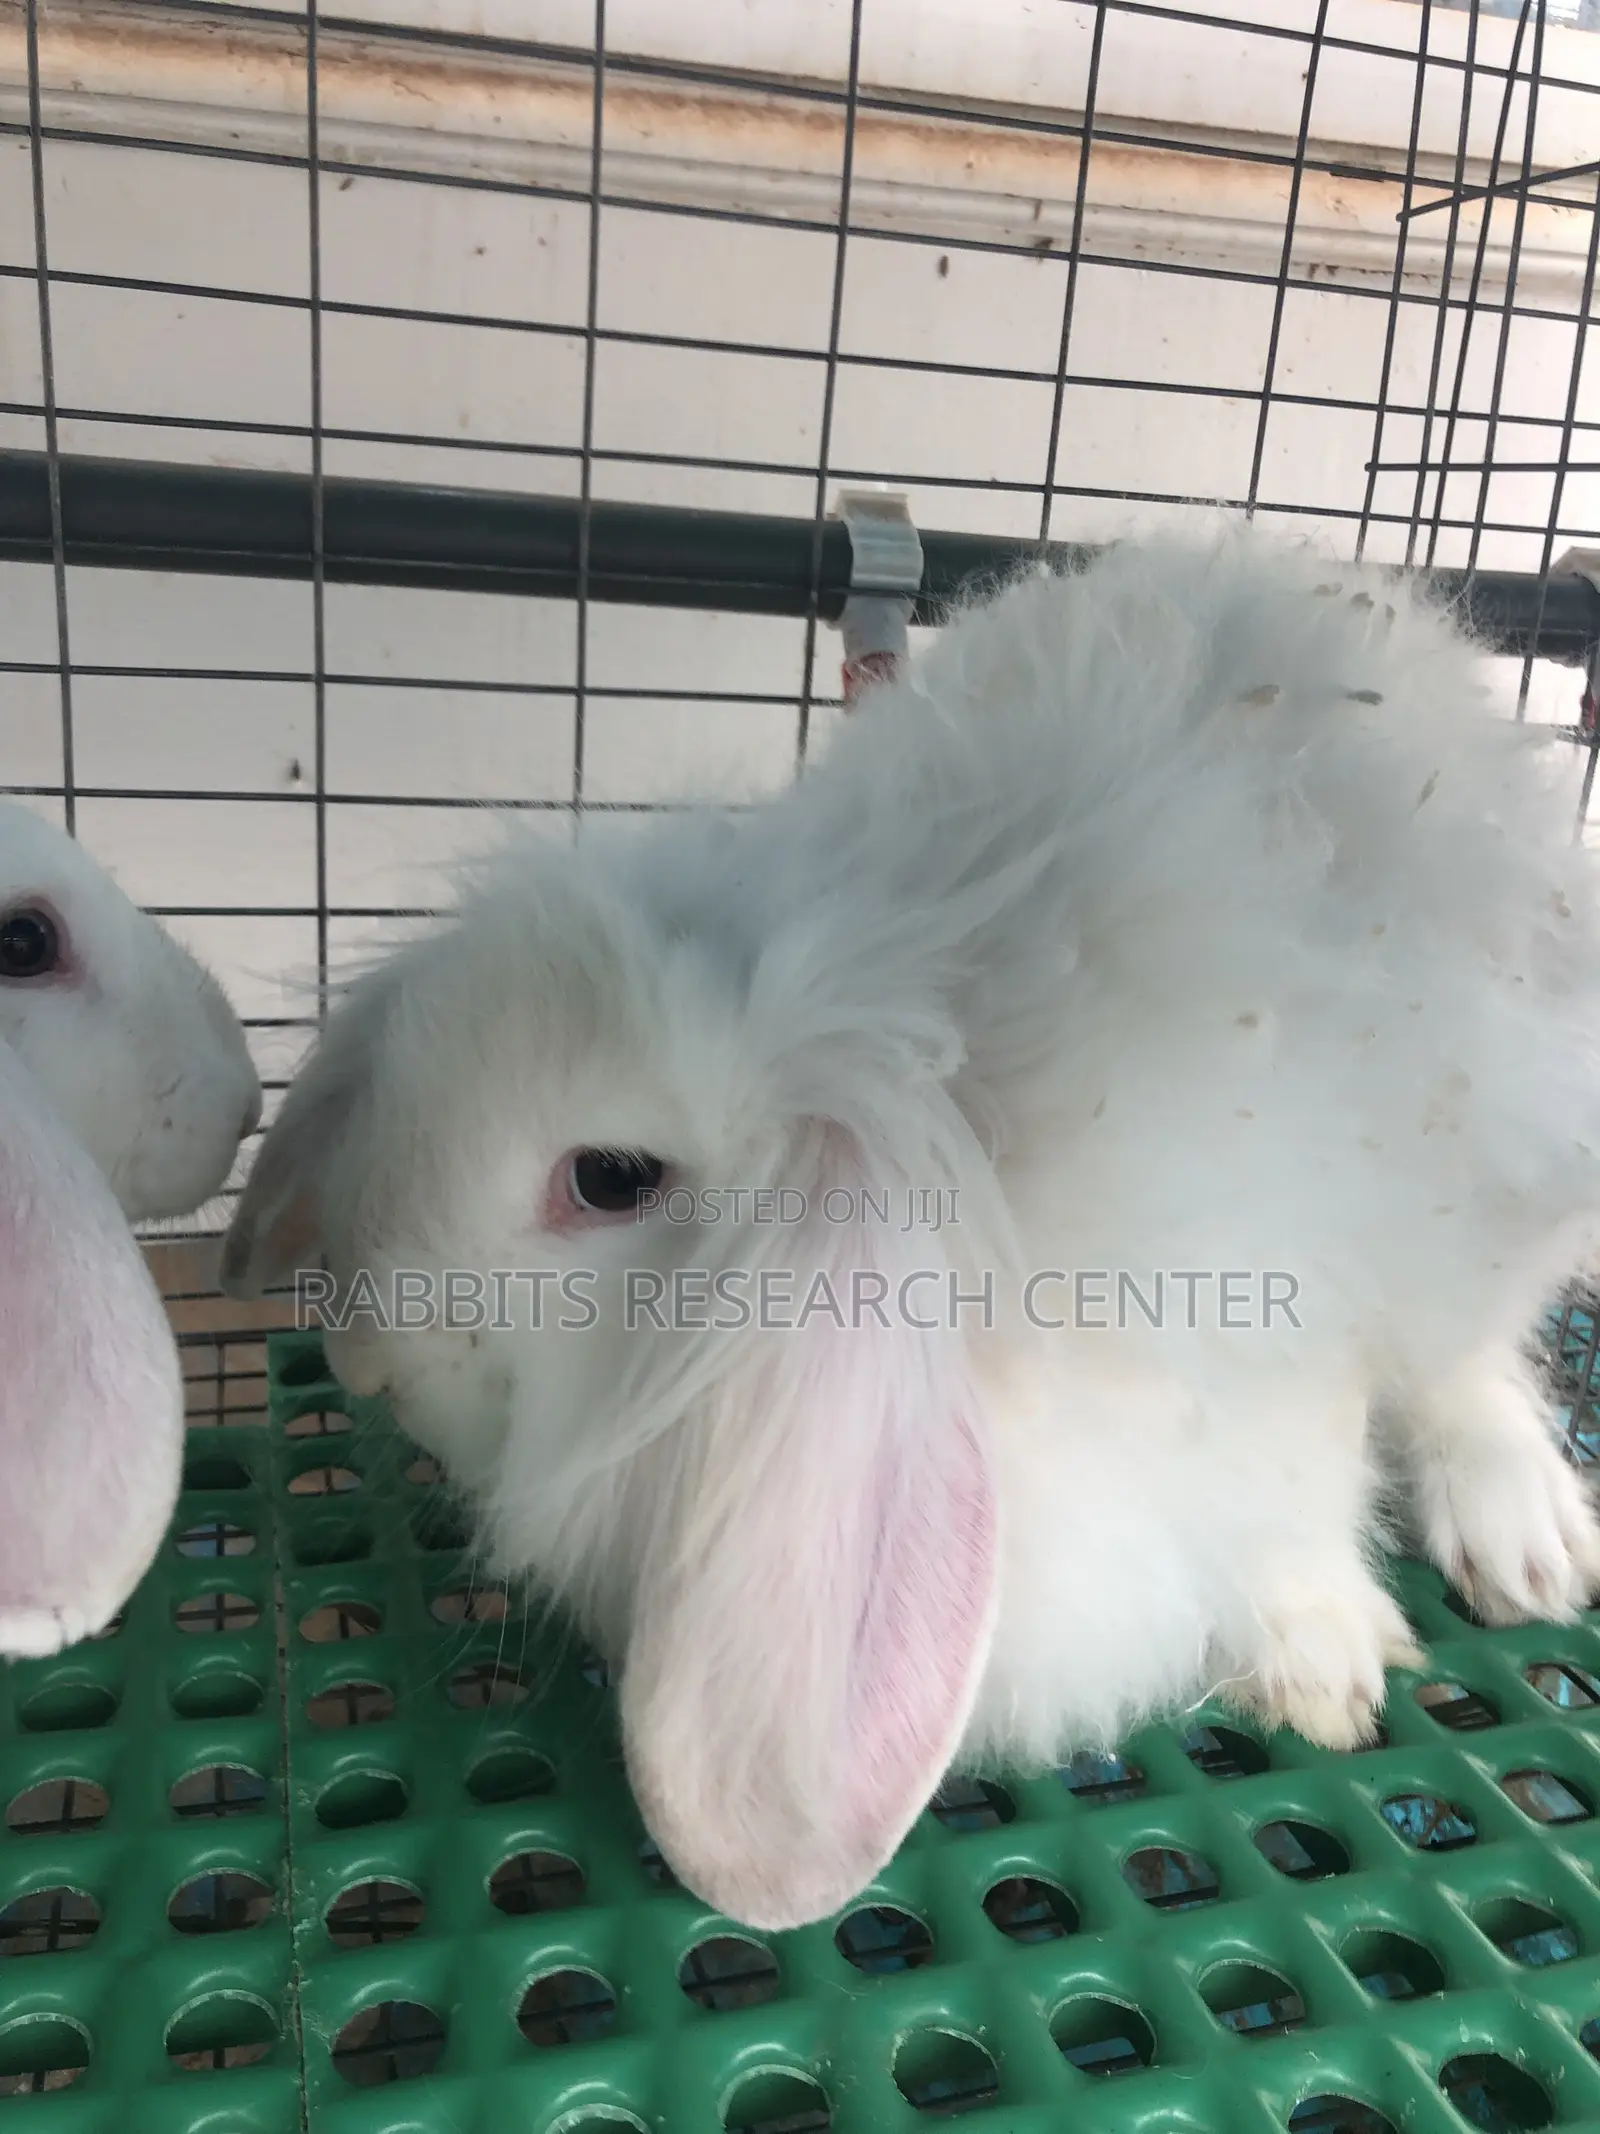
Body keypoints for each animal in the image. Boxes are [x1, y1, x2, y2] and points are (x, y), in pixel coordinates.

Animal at [222, 523, 1600, 1933]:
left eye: (607, 1178)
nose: (367, 1361)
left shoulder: (1272, 1353)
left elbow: (1298, 1498)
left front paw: (1318, 1666)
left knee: (1467, 1364)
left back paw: (1526, 1544)